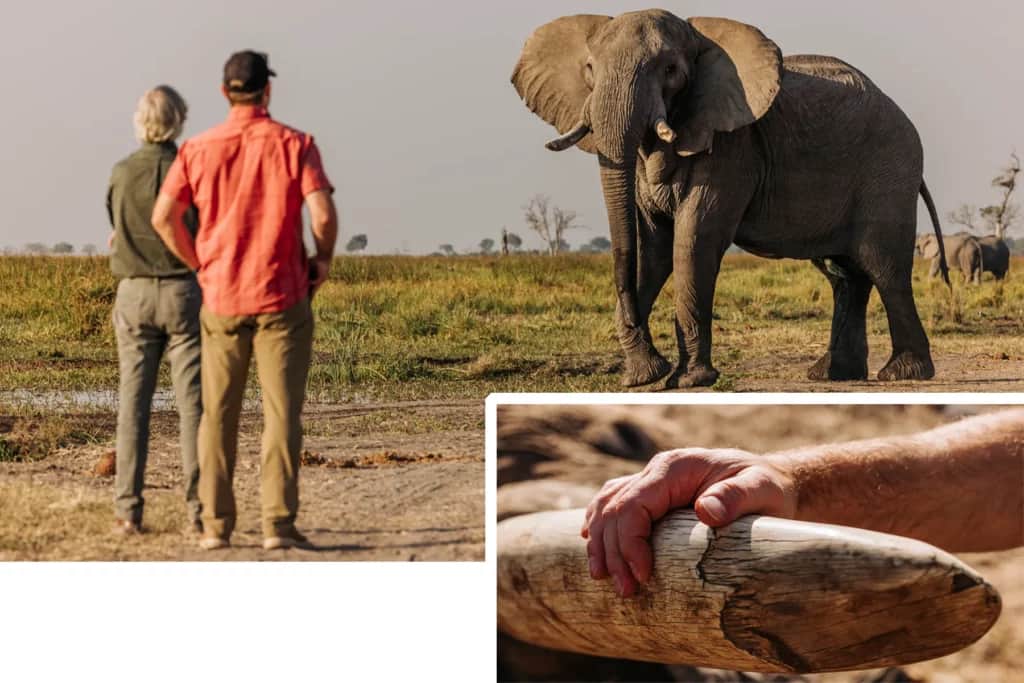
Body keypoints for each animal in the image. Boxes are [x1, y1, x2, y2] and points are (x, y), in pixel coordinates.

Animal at [512, 10, 950, 387]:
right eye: (589, 70)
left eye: (671, 71)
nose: (650, 365)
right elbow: (653, 249)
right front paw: (645, 378)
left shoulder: (730, 147)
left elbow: (693, 242)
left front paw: (687, 381)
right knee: (846, 274)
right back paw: (831, 375)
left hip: (888, 171)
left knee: (883, 266)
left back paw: (901, 374)